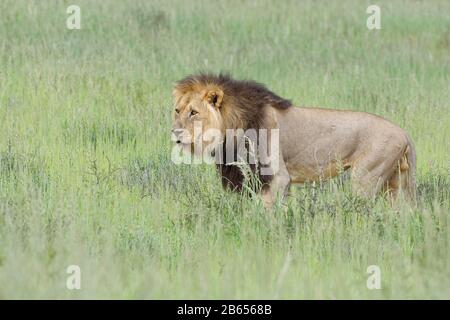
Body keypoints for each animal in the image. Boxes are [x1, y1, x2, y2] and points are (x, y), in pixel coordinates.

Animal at [171, 73, 416, 208]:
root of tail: (404, 132)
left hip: (366, 178)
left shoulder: (277, 177)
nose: (174, 132)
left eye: (193, 112)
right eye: (177, 110)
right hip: (396, 184)